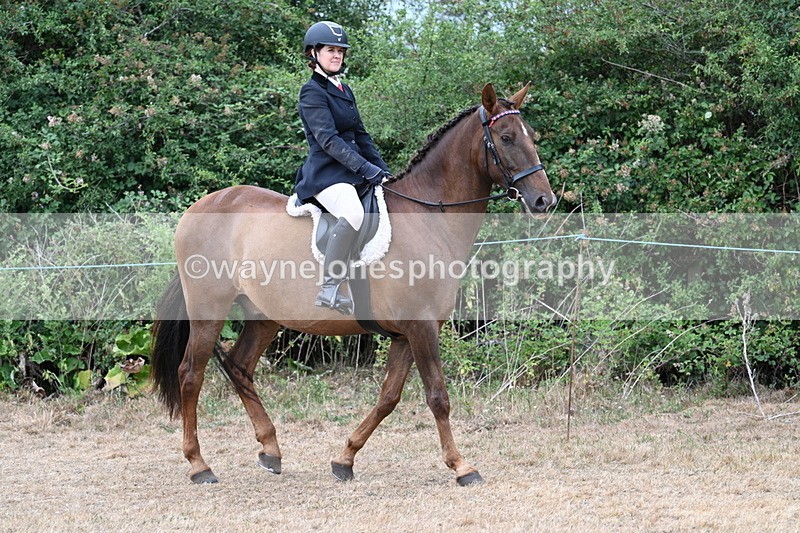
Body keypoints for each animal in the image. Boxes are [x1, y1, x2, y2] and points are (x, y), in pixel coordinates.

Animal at [150, 82, 555, 486]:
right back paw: (199, 465)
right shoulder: (421, 327)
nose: (544, 200)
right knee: (191, 374)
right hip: (208, 309)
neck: (428, 217)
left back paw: (271, 451)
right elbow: (437, 396)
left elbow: (388, 397)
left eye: (531, 136)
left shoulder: (405, 334)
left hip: (263, 315)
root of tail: (199, 206)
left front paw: (344, 459)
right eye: (506, 138)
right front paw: (461, 466)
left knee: (238, 366)